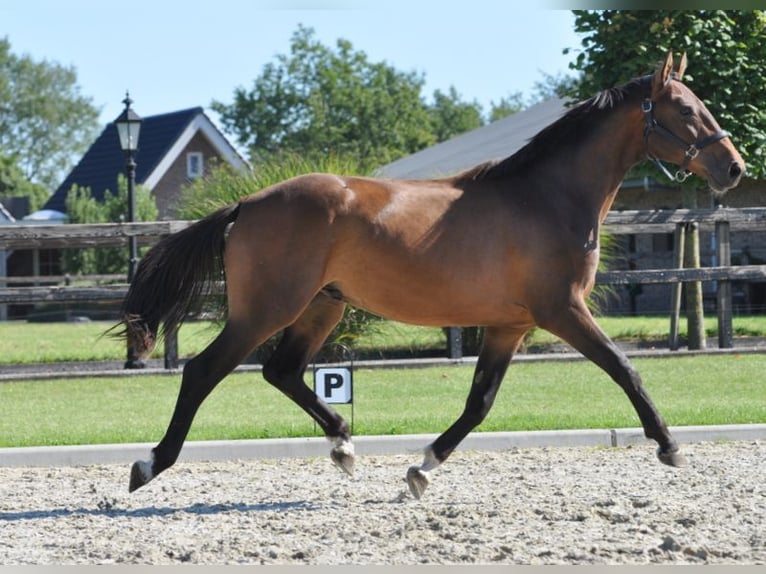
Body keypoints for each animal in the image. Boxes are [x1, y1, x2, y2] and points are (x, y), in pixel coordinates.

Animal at [118, 53, 744, 500]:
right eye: (686, 111)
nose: (733, 168)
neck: (546, 197)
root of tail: (247, 203)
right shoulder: (562, 311)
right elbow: (626, 370)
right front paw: (669, 446)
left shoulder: (509, 327)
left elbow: (479, 402)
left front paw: (422, 469)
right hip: (267, 309)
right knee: (204, 371)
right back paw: (149, 464)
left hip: (323, 305)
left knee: (283, 371)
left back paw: (344, 446)